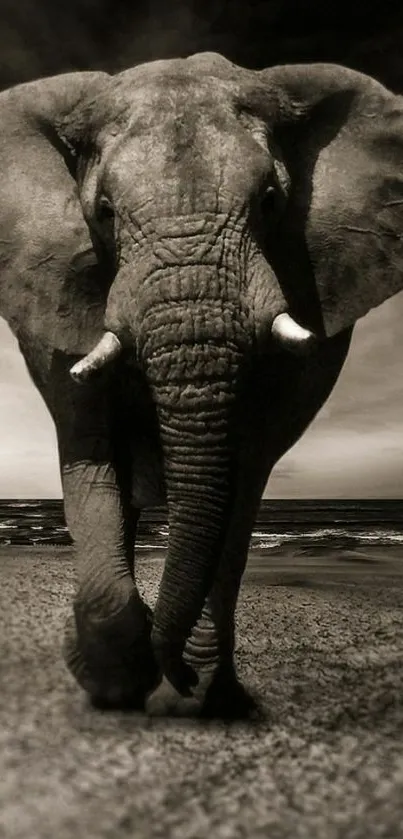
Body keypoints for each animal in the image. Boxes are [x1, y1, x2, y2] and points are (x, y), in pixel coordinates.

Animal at [1, 49, 402, 720]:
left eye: (270, 201)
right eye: (103, 213)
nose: (180, 677)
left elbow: (242, 473)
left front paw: (197, 688)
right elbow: (89, 452)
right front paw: (116, 685)